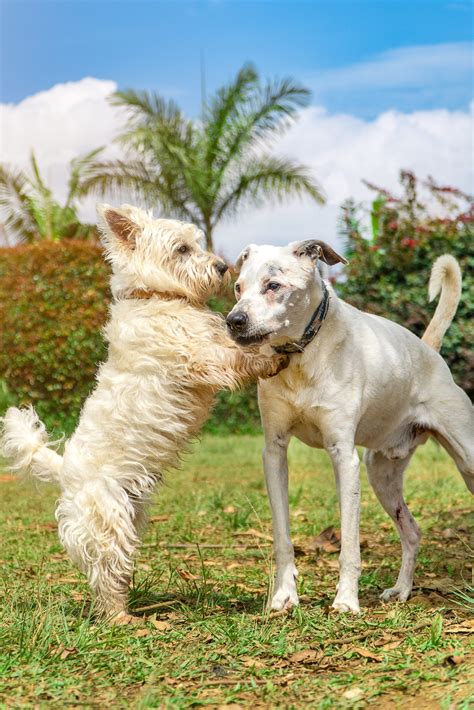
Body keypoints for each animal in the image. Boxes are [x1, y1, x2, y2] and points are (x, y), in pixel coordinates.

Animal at [0, 204, 286, 624]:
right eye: (182, 249)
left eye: (198, 243)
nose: (222, 267)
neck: (157, 297)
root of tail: (65, 469)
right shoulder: (202, 358)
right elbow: (239, 358)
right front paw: (271, 356)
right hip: (107, 522)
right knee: (104, 573)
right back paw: (121, 617)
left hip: (130, 515)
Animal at [227, 242, 474, 616]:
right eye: (238, 288)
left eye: (273, 285)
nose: (233, 321)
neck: (302, 356)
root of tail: (428, 350)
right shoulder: (274, 451)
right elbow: (283, 538)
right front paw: (284, 596)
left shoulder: (344, 455)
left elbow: (350, 545)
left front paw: (346, 600)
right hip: (381, 474)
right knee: (412, 532)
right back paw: (401, 590)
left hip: (466, 458)